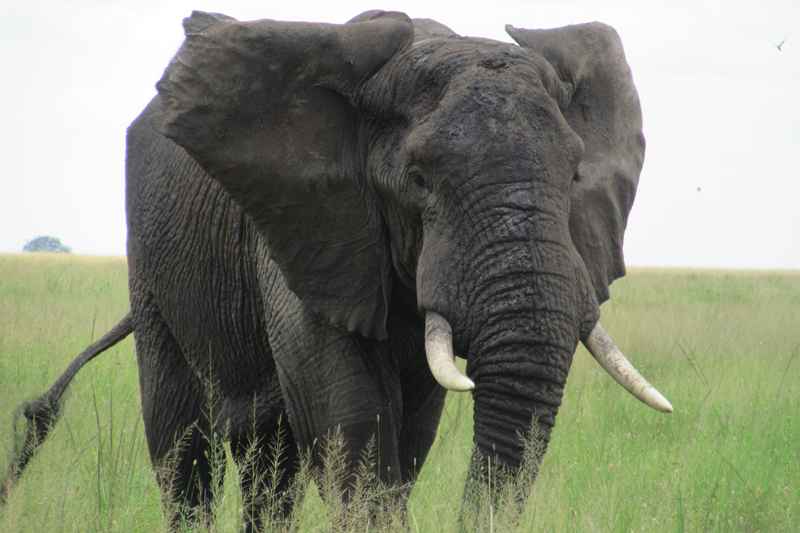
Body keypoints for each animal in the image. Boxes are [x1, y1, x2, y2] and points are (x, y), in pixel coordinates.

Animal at [3, 10, 672, 528]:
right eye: (418, 179)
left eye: (574, 176)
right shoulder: (304, 228)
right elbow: (351, 420)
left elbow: (411, 429)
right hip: (150, 265)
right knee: (182, 450)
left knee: (269, 469)